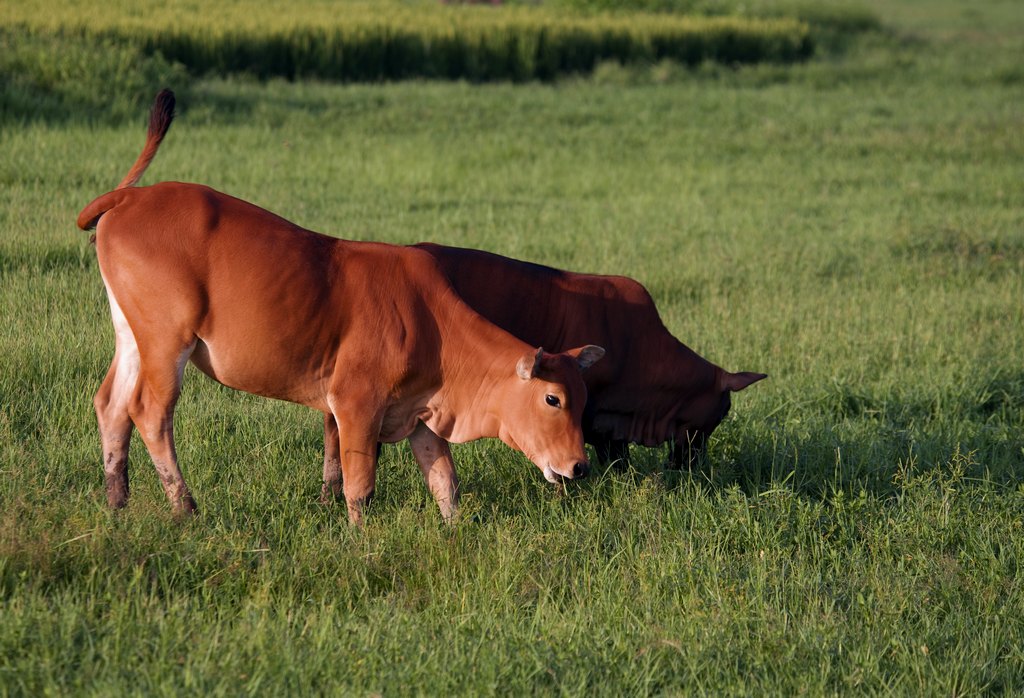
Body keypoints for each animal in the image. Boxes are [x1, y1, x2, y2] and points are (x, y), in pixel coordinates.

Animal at [83, 89, 606, 519]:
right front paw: (362, 541)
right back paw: (185, 508)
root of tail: (132, 197)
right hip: (167, 340)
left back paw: (117, 502)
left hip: (132, 334)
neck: (433, 326)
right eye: (553, 398)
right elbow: (360, 488)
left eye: (583, 397)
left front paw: (456, 533)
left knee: (111, 405)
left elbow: (445, 484)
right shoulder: (355, 403)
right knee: (150, 412)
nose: (579, 466)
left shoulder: (420, 414)